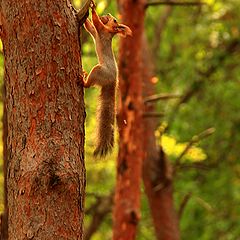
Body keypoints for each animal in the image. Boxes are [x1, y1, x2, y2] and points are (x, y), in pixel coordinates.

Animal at [82, 3, 131, 158]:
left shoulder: (102, 30)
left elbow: (96, 22)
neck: (110, 32)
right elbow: (90, 27)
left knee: (88, 85)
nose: (108, 14)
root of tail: (113, 80)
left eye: (115, 20)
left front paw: (92, 8)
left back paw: (82, 79)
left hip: (99, 71)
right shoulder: (96, 32)